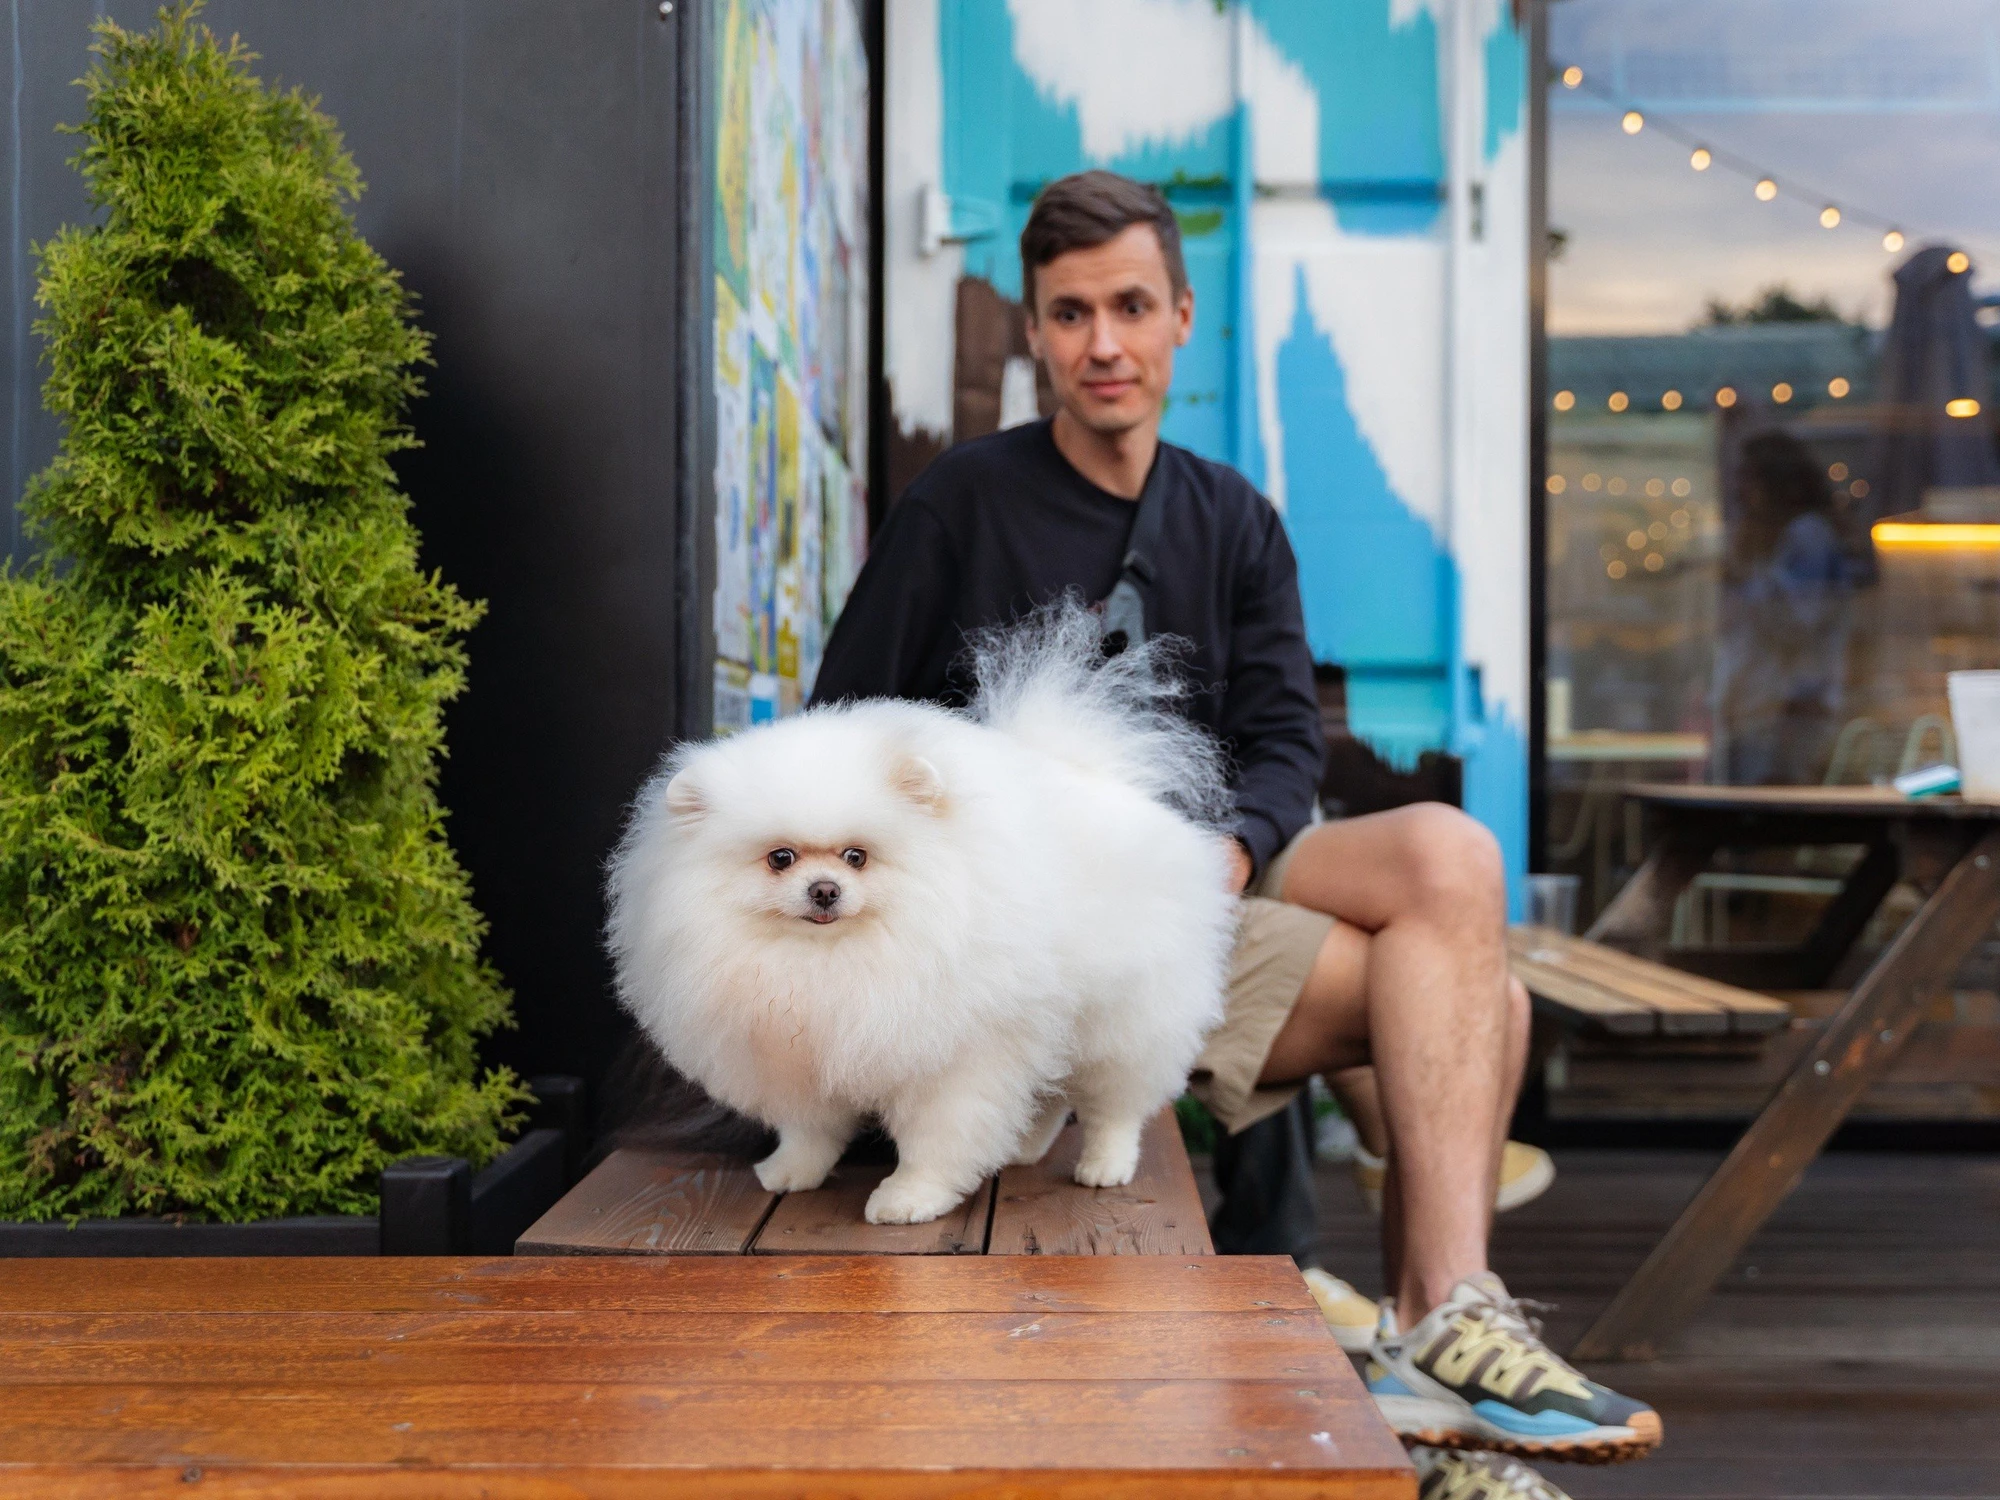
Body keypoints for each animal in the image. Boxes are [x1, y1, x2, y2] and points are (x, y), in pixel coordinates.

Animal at [605, 604, 1237, 1225]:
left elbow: (936, 1140)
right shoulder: (801, 1054)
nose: (825, 889)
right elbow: (810, 1130)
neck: (833, 960)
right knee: (1051, 1095)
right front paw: (791, 1171)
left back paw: (1105, 1164)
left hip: (1125, 1017)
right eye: (780, 858)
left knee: (1115, 1105)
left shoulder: (955, 1055)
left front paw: (909, 1198)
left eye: (856, 856)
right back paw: (1024, 1146)